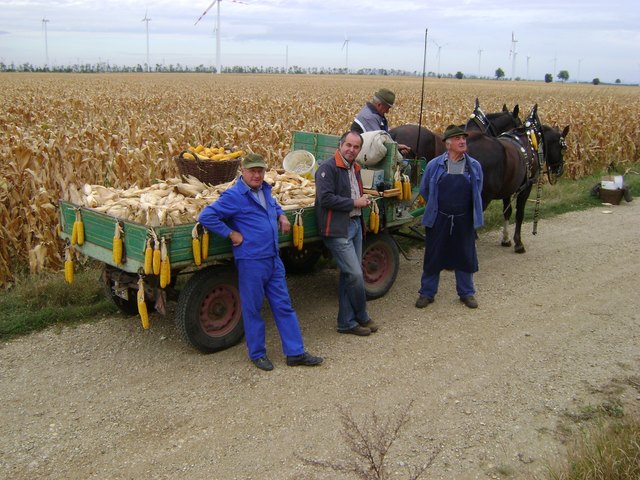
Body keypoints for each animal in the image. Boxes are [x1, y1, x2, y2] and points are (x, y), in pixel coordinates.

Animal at [464, 105, 568, 253]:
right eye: (563, 148)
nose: (560, 170)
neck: (530, 139)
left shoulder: (507, 188)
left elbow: (507, 212)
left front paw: (506, 239)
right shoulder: (525, 187)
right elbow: (519, 213)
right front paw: (518, 243)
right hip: (483, 196)